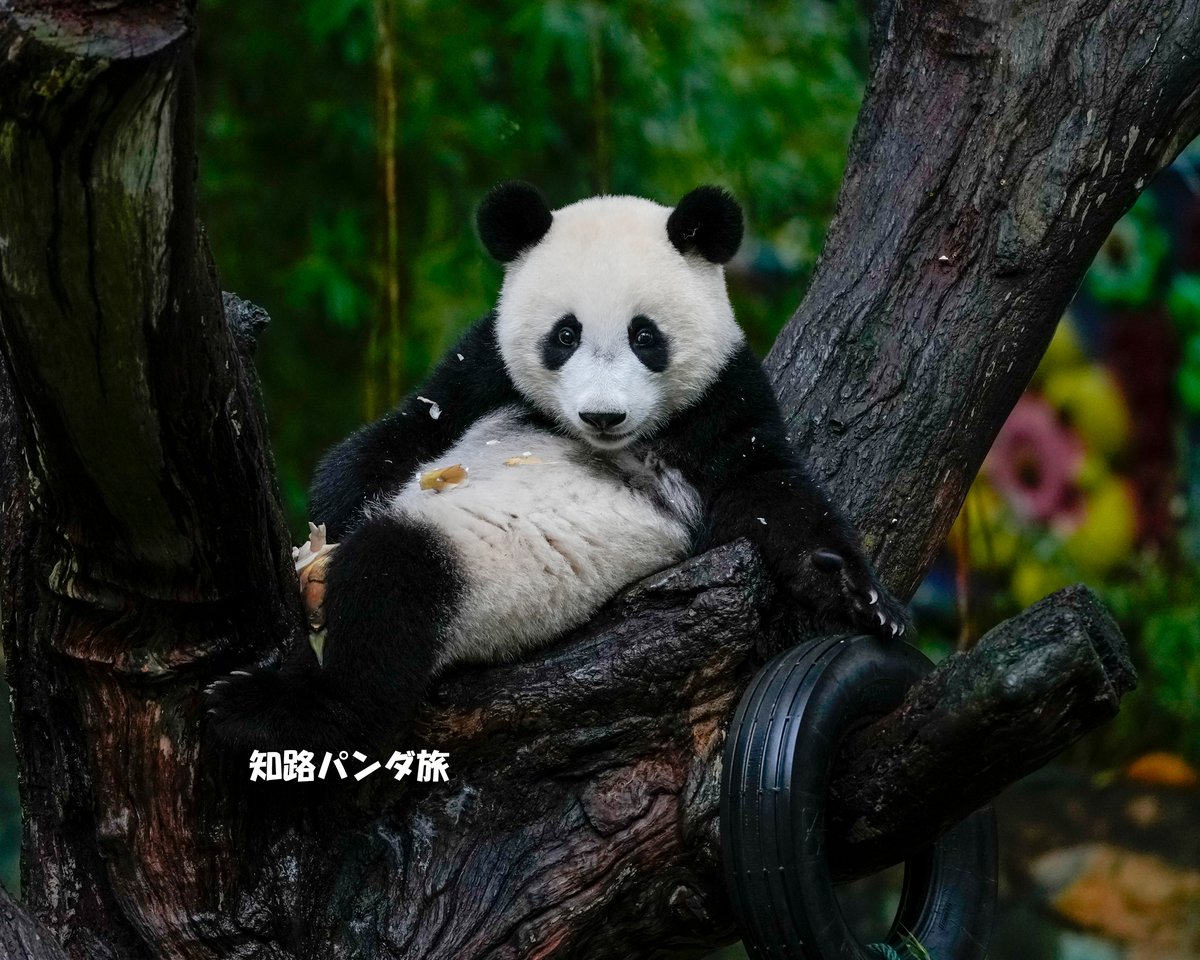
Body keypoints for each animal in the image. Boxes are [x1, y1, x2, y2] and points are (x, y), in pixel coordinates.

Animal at [206, 182, 908, 757]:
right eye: (564, 335)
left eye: (646, 336)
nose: (603, 415)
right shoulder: (484, 367)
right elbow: (405, 431)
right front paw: (331, 516)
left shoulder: (722, 401)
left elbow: (769, 492)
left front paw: (861, 596)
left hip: (478, 591)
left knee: (394, 591)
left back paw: (278, 708)